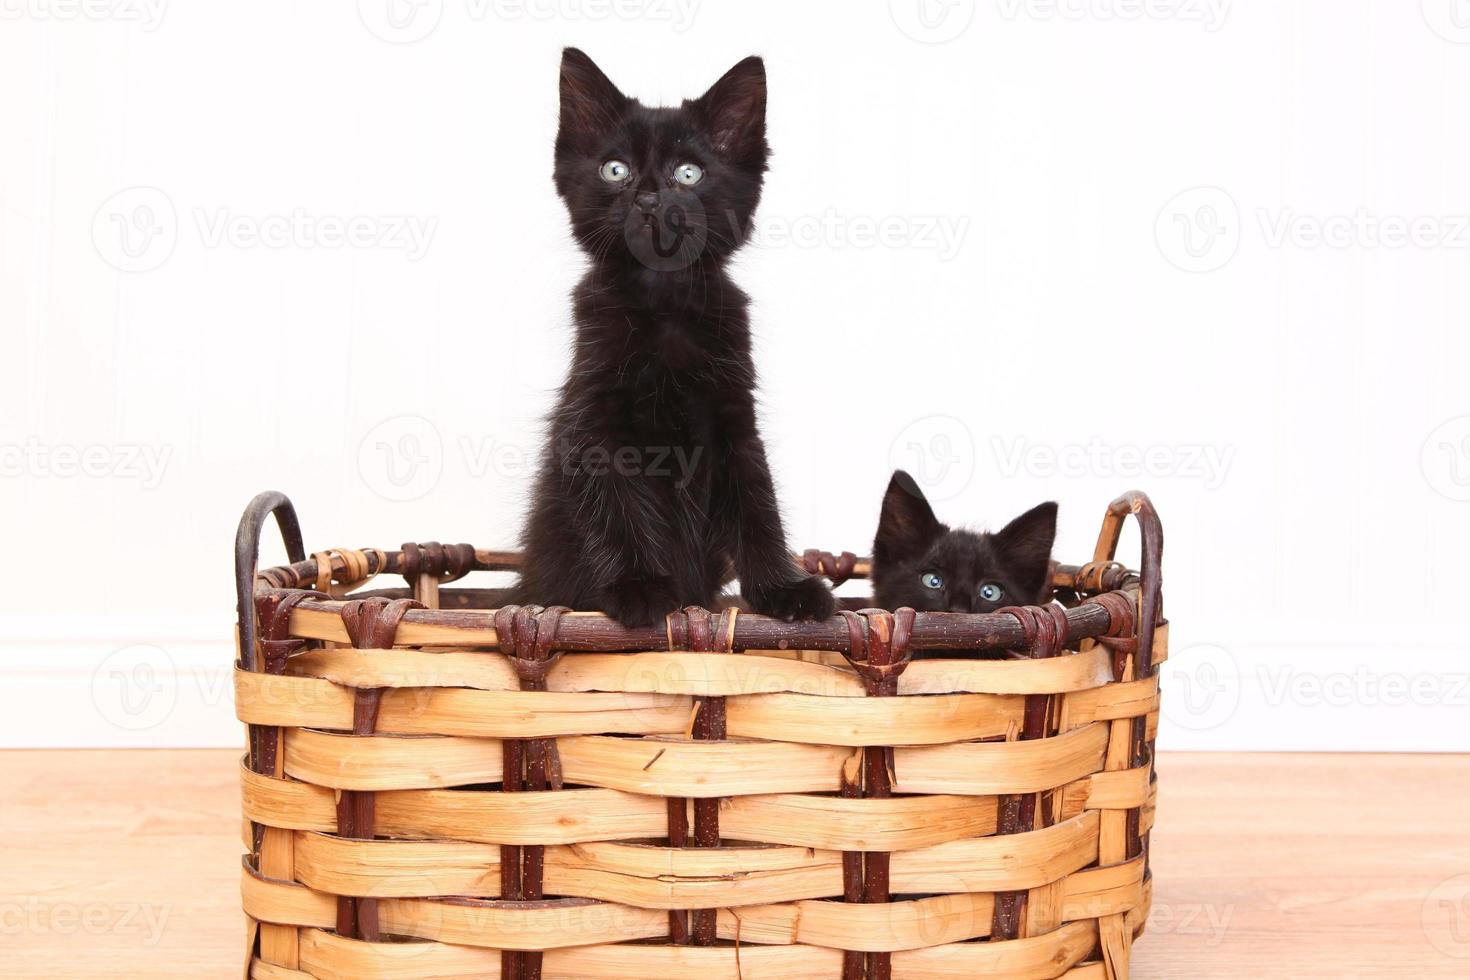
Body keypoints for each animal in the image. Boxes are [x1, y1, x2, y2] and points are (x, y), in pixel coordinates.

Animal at [514, 47, 840, 628]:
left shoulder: (735, 417)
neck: (662, 304)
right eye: (615, 170)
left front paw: (785, 590)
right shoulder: (595, 422)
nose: (647, 200)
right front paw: (641, 589)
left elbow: (759, 506)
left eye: (688, 173)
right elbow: (617, 506)